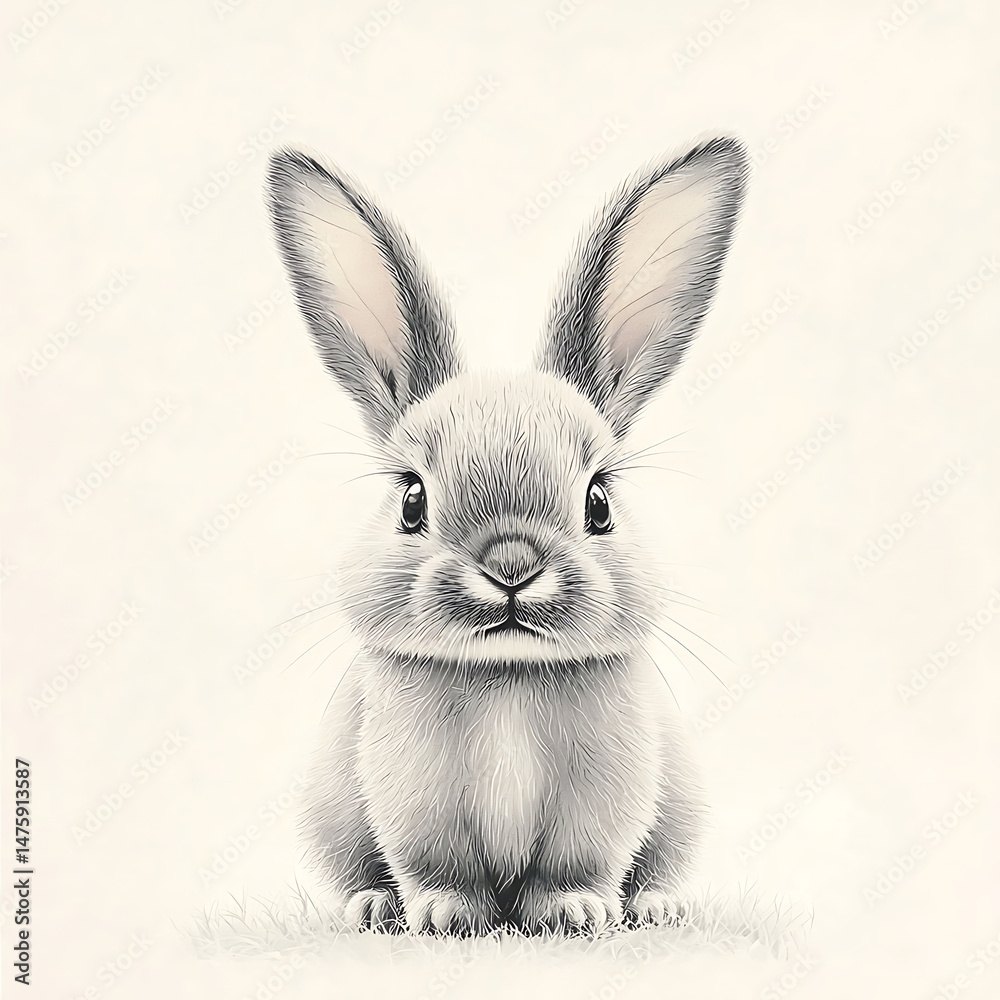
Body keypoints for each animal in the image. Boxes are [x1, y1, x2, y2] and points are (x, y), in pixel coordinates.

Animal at [264, 135, 748, 936]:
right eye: (411, 501)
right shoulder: (415, 799)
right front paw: (444, 917)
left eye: (599, 502)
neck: (507, 678)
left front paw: (574, 913)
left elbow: (579, 863)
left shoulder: (603, 797)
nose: (511, 565)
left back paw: (657, 908)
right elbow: (436, 864)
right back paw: (373, 907)